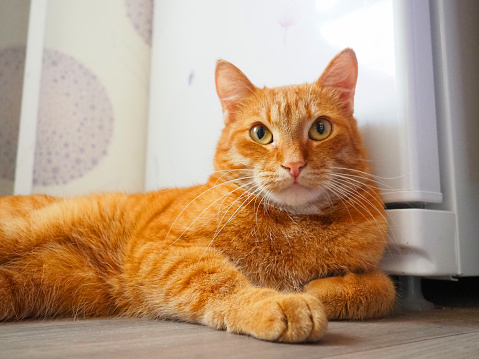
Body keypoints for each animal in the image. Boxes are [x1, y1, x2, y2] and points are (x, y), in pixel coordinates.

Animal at [1, 48, 396, 344]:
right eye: (260, 133)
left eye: (320, 128)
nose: (294, 164)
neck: (294, 225)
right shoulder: (164, 250)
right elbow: (220, 282)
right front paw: (276, 301)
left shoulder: (371, 264)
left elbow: (383, 288)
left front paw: (317, 289)